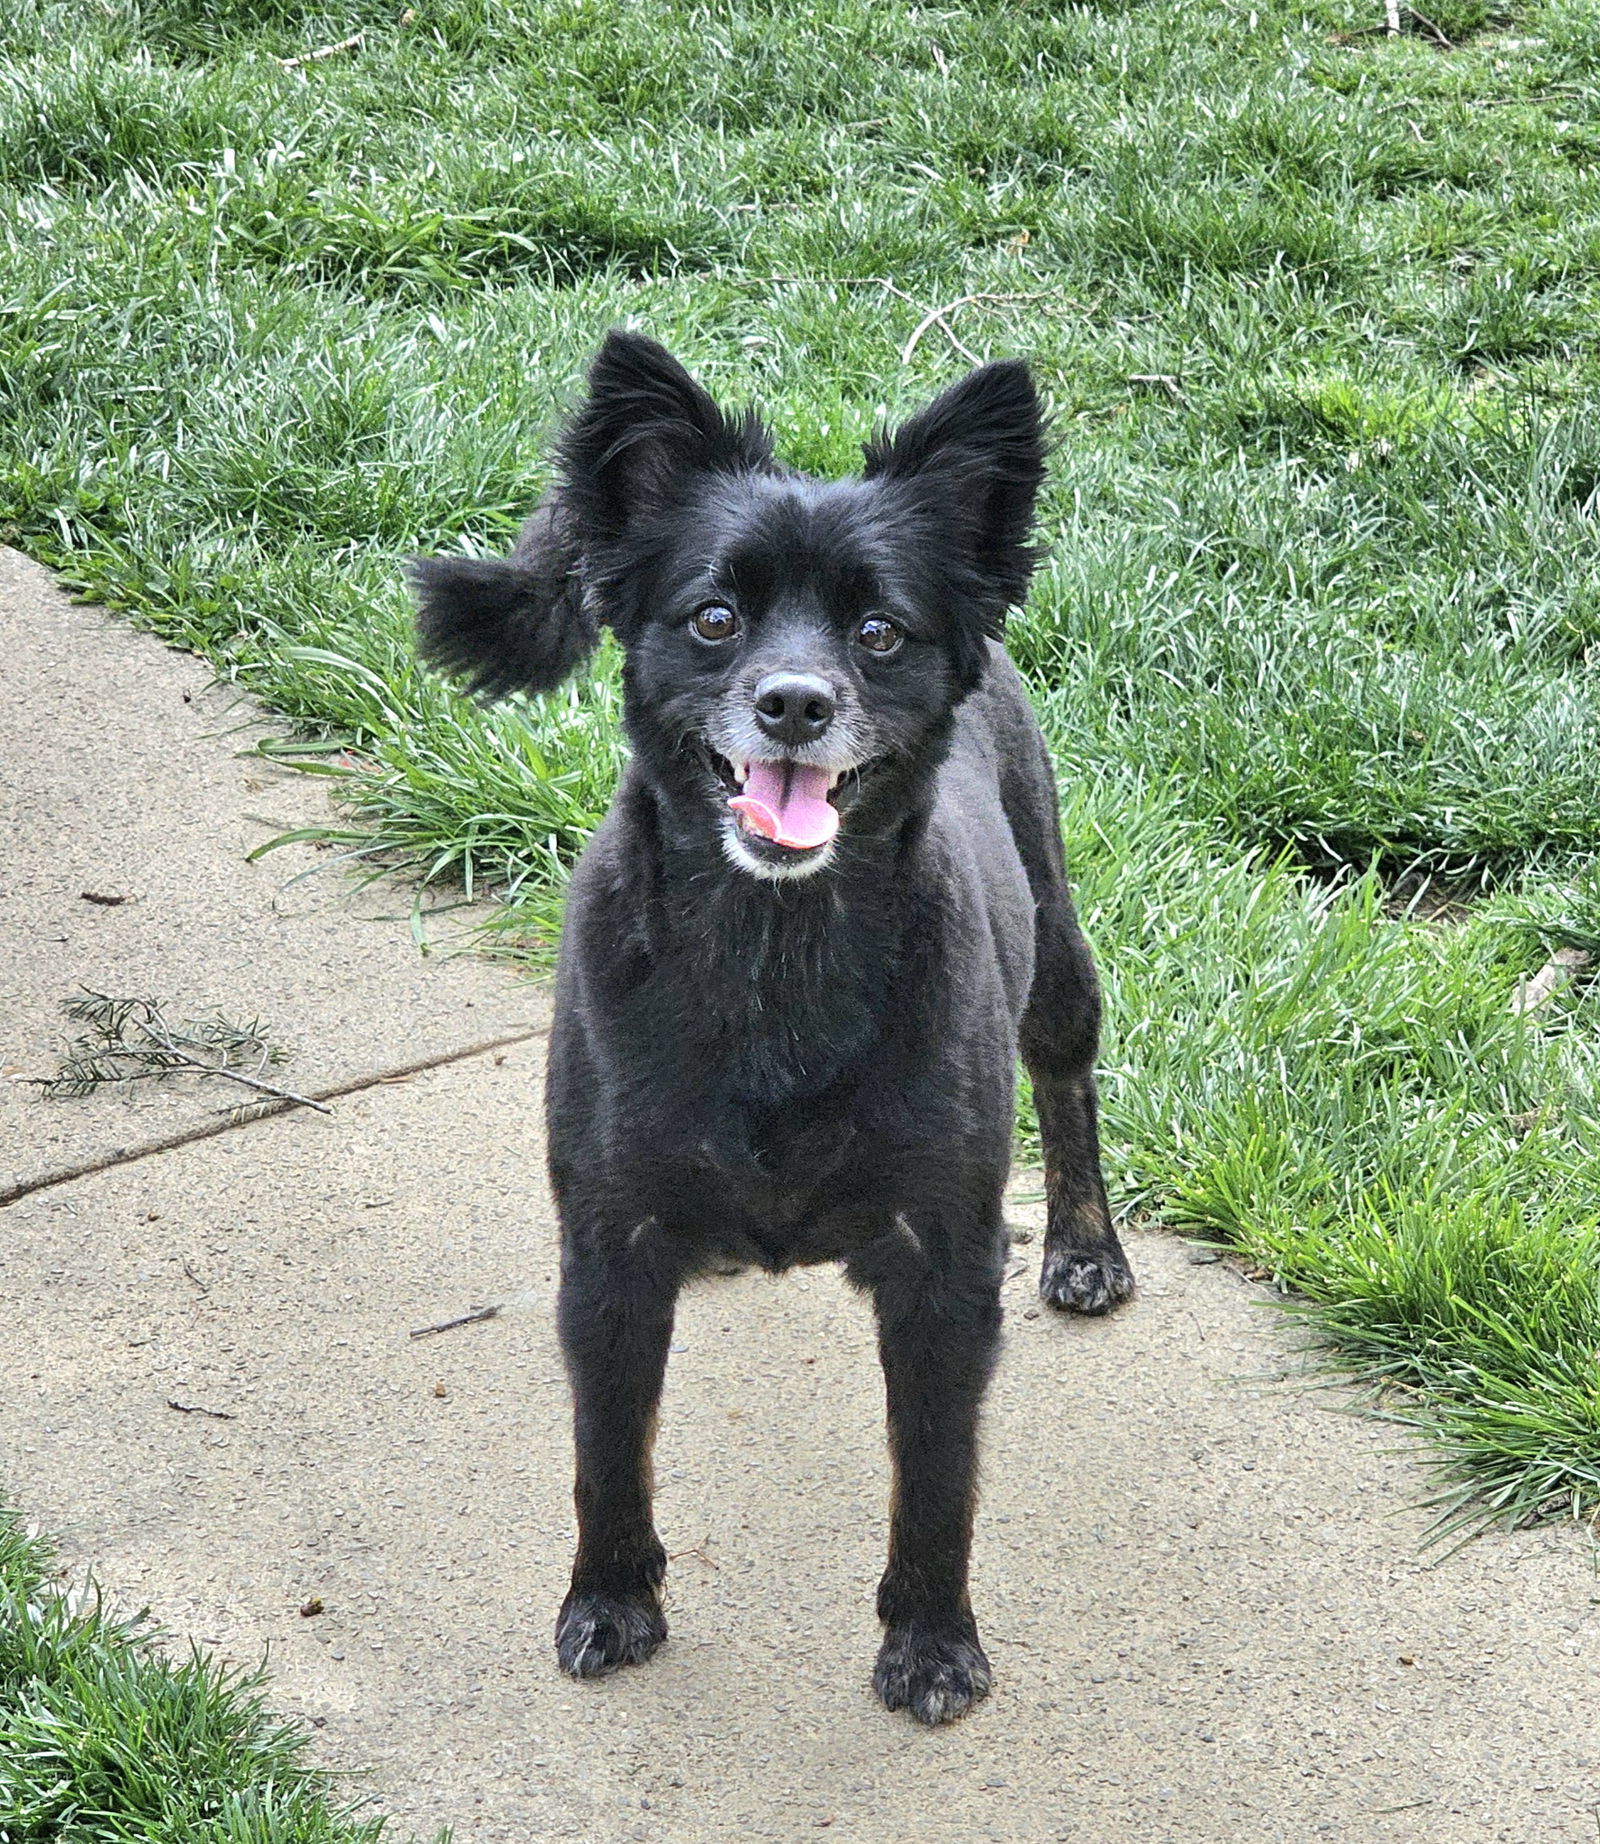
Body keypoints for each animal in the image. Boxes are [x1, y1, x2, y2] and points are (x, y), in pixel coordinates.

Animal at [412, 331, 1135, 1725]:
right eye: (712, 616)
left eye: (879, 630)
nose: (794, 701)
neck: (772, 951)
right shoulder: (608, 1251)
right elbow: (607, 1449)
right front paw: (610, 1599)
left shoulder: (941, 1266)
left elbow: (936, 1476)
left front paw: (930, 1639)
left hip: (1058, 947)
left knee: (1067, 1076)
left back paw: (1085, 1244)